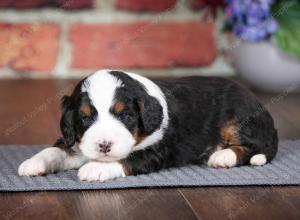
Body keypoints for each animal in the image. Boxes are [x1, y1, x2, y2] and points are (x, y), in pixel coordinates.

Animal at [18, 69, 278, 181]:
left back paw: (222, 156)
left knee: (253, 146)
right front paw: (33, 162)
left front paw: (95, 168)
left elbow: (130, 157)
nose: (104, 146)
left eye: (125, 116)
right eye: (85, 118)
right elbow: (57, 149)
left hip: (239, 119)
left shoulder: (157, 150)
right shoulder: (78, 143)